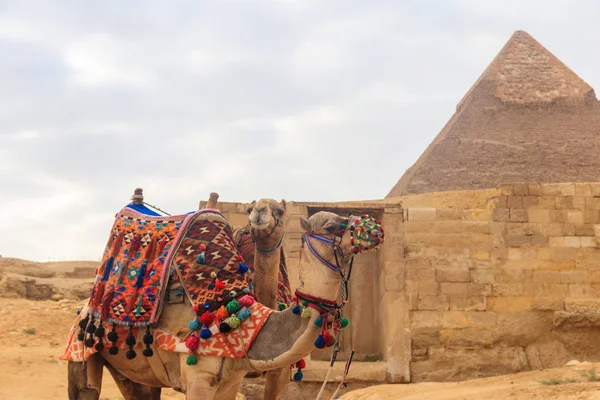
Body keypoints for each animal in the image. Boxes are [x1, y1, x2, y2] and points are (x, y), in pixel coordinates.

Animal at [65, 198, 384, 398]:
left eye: (280, 210)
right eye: (330, 227)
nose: (373, 227)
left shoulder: (233, 381)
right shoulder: (197, 378)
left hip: (133, 372)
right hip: (78, 350)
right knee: (86, 388)